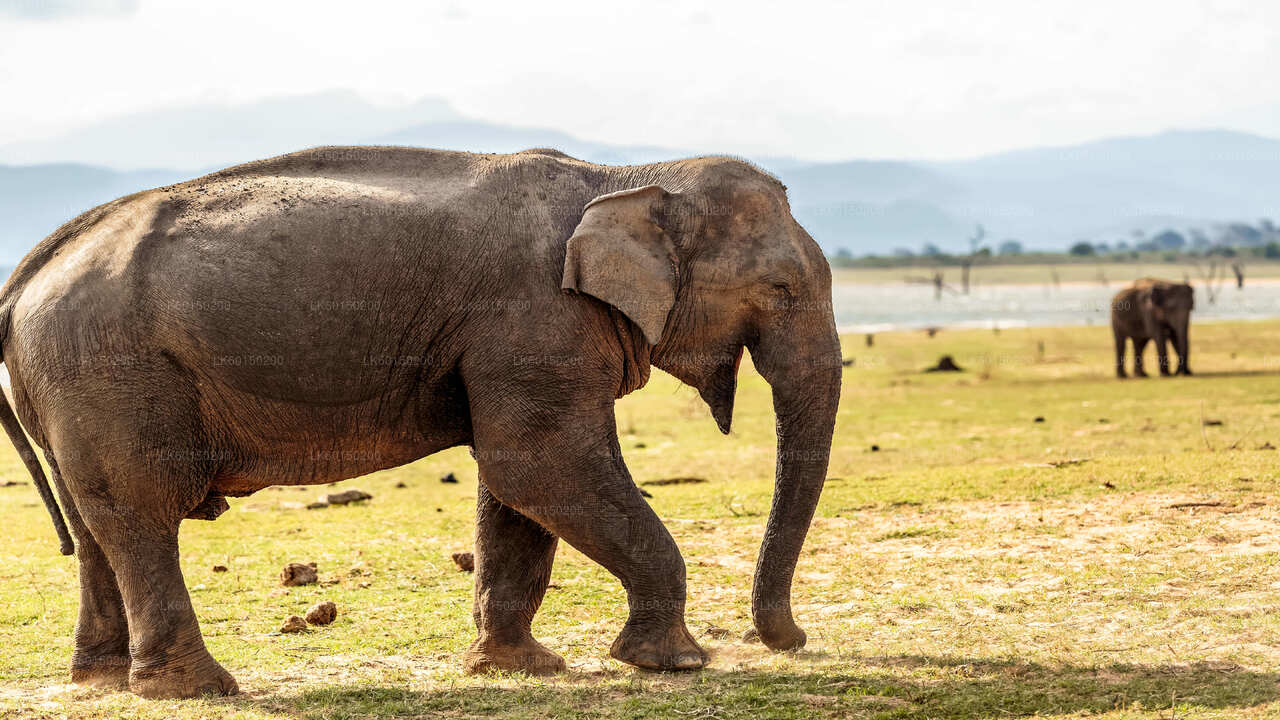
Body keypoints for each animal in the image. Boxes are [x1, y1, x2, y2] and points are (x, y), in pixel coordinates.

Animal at [0, 146, 844, 696]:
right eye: (779, 288)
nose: (790, 641)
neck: (625, 176)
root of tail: (27, 274)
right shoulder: (536, 316)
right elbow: (539, 463)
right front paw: (674, 663)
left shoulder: (517, 340)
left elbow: (518, 485)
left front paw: (517, 669)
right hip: (108, 371)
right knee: (140, 514)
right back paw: (197, 689)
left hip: (72, 383)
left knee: (96, 524)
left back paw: (102, 681)